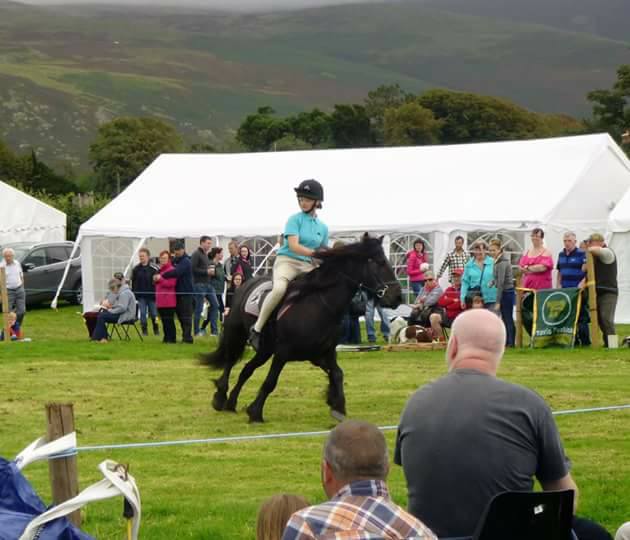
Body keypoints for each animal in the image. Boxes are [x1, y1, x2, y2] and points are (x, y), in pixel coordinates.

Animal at [200, 234, 402, 424]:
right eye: (379, 262)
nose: (397, 297)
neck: (320, 305)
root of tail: (245, 284)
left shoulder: (323, 353)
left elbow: (337, 374)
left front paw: (338, 406)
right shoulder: (283, 353)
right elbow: (270, 382)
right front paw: (255, 413)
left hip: (265, 350)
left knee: (246, 369)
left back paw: (231, 403)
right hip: (238, 335)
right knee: (230, 361)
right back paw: (220, 397)